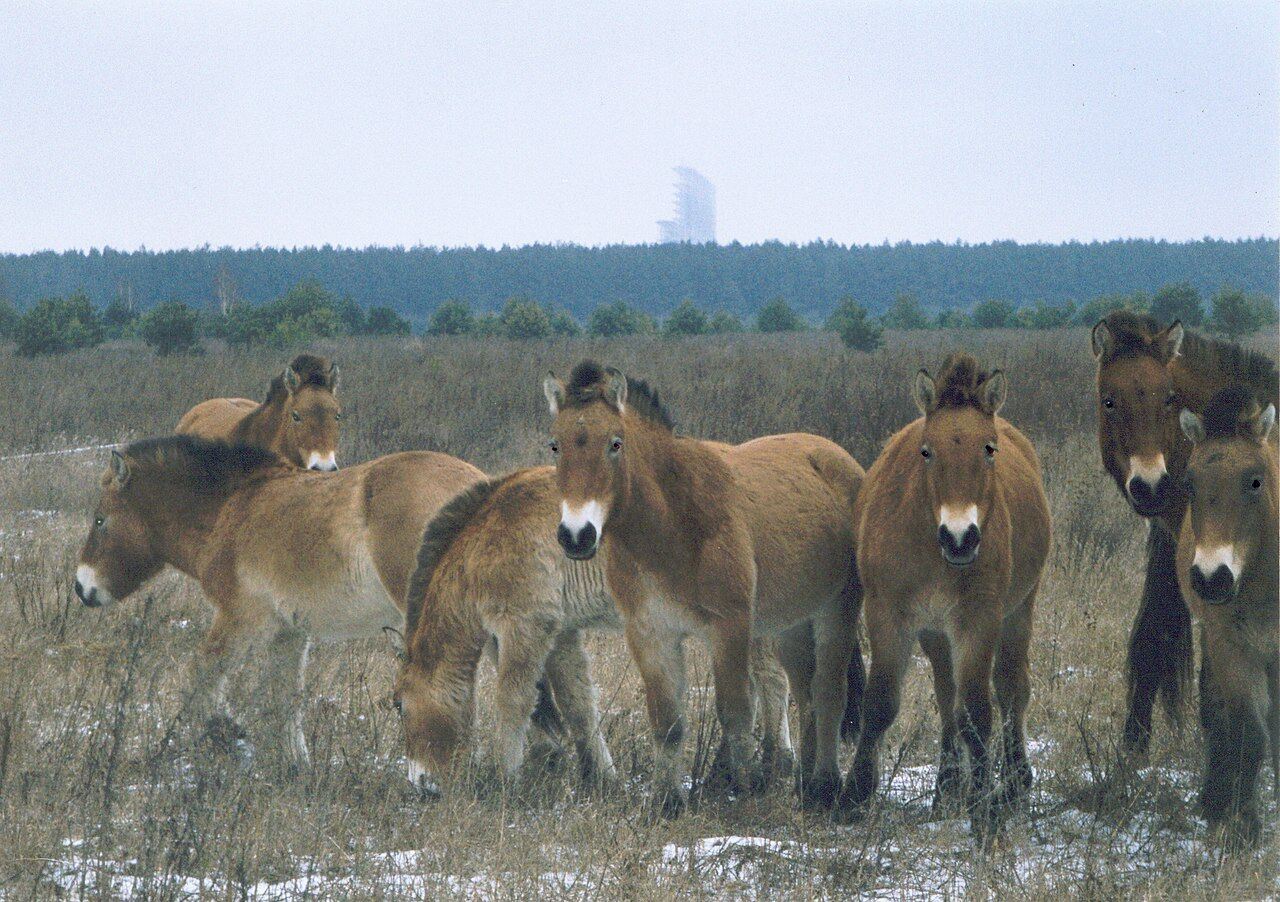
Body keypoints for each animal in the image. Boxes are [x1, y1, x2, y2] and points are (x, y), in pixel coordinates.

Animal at [73, 435, 484, 767]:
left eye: (100, 520)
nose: (81, 587)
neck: (230, 510)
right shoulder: (290, 634)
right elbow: (285, 698)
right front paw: (295, 765)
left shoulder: (239, 619)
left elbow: (202, 678)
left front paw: (228, 734)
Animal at [393, 466, 797, 797]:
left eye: (400, 706)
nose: (420, 784)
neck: (484, 539)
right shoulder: (561, 634)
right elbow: (578, 704)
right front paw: (602, 779)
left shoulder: (525, 627)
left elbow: (513, 701)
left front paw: (508, 780)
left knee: (771, 682)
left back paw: (772, 768)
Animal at [542, 361, 865, 815]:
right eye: (555, 446)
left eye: (615, 444)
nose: (576, 535)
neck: (674, 525)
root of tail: (842, 462)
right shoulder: (650, 634)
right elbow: (667, 720)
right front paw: (667, 801)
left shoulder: (728, 629)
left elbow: (736, 714)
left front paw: (742, 793)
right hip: (792, 626)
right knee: (805, 695)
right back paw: (803, 783)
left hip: (838, 611)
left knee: (829, 693)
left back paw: (824, 785)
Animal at [846, 354, 1050, 838]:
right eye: (926, 450)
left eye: (989, 448)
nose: (961, 537)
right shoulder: (888, 615)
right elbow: (881, 702)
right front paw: (854, 795)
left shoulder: (979, 619)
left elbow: (977, 711)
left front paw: (983, 806)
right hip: (936, 634)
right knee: (946, 695)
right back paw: (947, 786)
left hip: (1018, 611)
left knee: (1011, 690)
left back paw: (1014, 784)